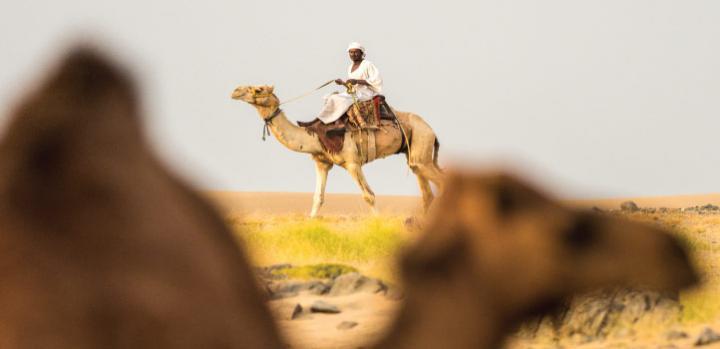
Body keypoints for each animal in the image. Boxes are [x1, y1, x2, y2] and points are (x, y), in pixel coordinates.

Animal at [231, 85, 444, 215]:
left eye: (258, 89)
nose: (235, 91)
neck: (315, 136)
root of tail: (431, 130)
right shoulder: (322, 162)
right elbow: (318, 198)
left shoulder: (352, 162)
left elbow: (369, 196)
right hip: (416, 153)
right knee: (427, 192)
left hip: (421, 142)